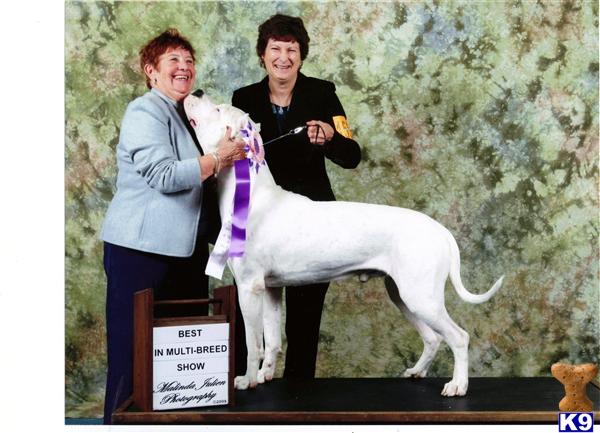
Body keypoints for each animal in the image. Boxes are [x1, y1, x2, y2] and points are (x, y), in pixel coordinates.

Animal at [185, 93, 504, 396]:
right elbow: (273, 340)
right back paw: (416, 371)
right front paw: (265, 376)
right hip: (403, 295)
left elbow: (253, 344)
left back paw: (458, 386)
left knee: (458, 337)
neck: (251, 195)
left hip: (421, 297)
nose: (196, 91)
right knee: (433, 337)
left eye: (217, 109)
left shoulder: (249, 287)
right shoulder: (271, 290)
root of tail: (440, 230)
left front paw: (247, 380)